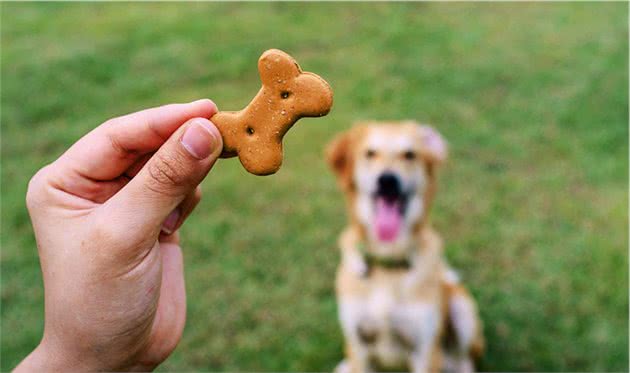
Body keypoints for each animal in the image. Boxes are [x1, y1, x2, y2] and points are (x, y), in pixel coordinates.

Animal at [326, 120, 484, 370]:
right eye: (370, 153)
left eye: (410, 154)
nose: (387, 180)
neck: (388, 260)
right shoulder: (358, 344)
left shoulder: (425, 351)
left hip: (462, 308)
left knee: (464, 360)